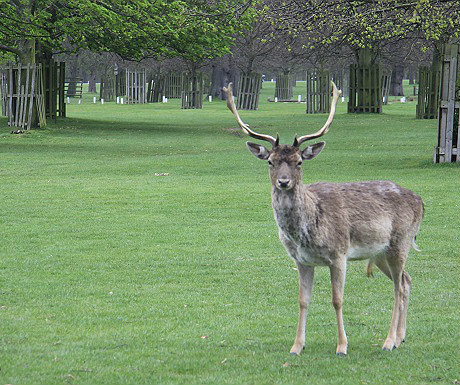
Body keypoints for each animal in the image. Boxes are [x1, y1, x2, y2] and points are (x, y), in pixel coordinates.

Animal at [223, 82, 424, 356]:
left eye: (298, 162)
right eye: (271, 162)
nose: (283, 182)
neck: (307, 229)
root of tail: (421, 201)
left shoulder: (339, 254)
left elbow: (337, 300)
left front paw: (342, 346)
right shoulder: (301, 260)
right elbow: (302, 300)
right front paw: (296, 346)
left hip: (400, 242)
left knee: (397, 287)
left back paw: (389, 341)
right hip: (380, 253)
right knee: (406, 281)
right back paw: (401, 337)